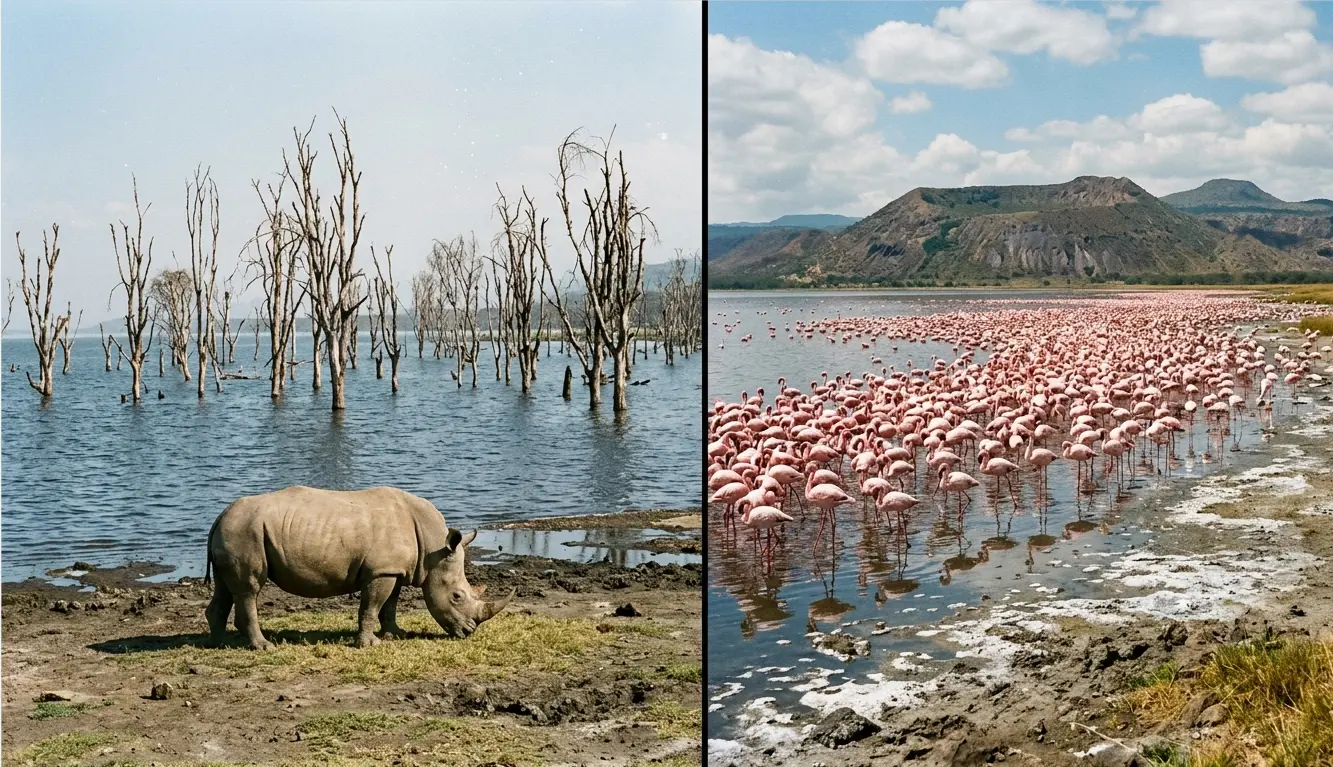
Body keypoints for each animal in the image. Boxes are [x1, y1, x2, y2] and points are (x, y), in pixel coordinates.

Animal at [204, 485, 514, 650]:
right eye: (457, 596)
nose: (469, 632)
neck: (432, 548)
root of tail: (220, 516)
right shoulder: (381, 571)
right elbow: (371, 607)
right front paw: (370, 644)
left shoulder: (393, 570)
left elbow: (390, 605)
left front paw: (396, 634)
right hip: (245, 532)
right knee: (249, 589)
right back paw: (264, 646)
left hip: (235, 531)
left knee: (226, 589)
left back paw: (219, 643)